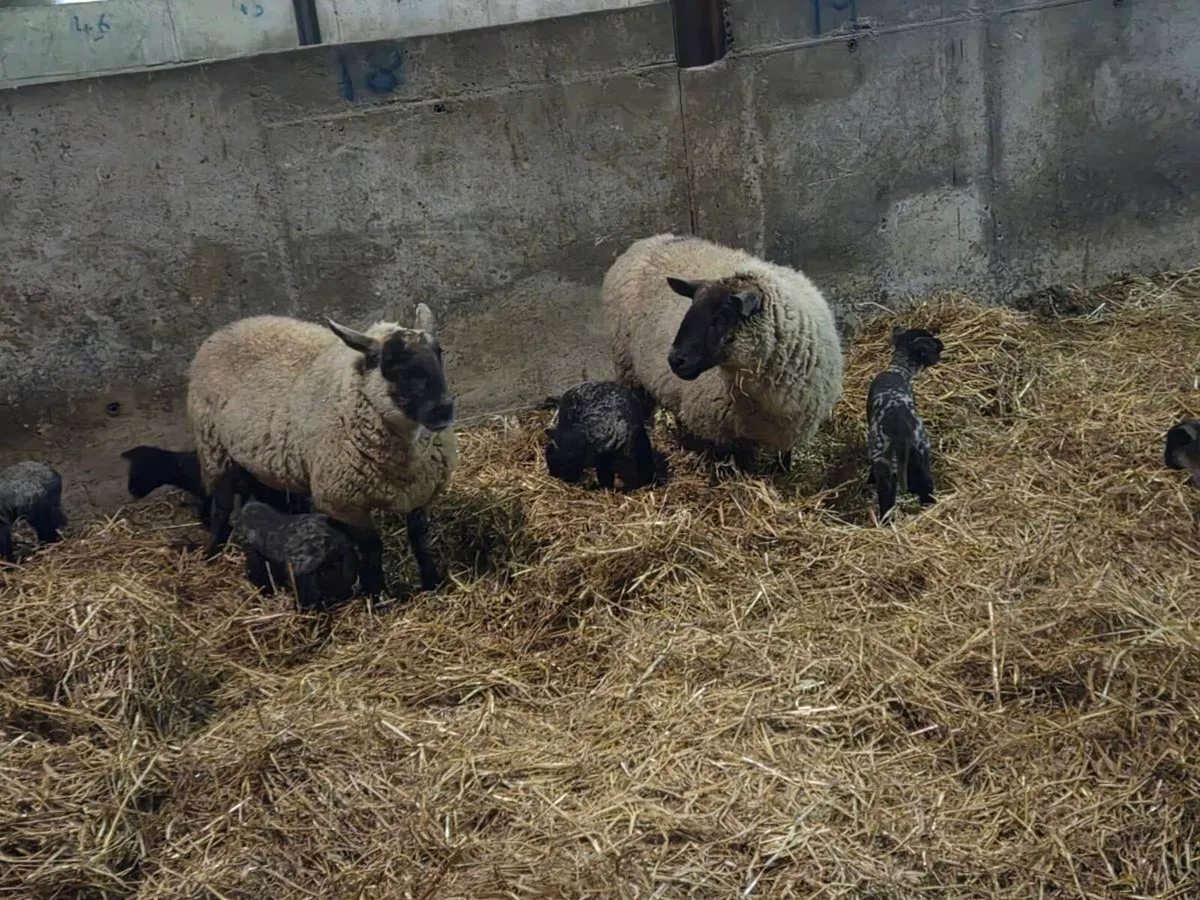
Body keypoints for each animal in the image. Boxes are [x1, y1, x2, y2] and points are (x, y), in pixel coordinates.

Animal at [186, 302, 457, 597]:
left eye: (439, 353)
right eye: (393, 364)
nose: (443, 410)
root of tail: (232, 325)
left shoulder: (422, 494)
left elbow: (420, 540)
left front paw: (433, 582)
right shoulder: (343, 502)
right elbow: (373, 548)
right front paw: (377, 592)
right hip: (214, 449)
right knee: (221, 509)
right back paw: (212, 552)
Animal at [600, 233, 844, 474]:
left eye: (721, 315)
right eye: (690, 309)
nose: (675, 359)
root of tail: (647, 240)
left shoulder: (790, 432)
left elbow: (783, 461)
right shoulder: (720, 431)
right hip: (628, 368)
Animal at [866, 326, 944, 519]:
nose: (941, 344)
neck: (899, 369)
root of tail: (902, 436)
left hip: (885, 465)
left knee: (887, 502)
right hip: (920, 457)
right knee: (926, 491)